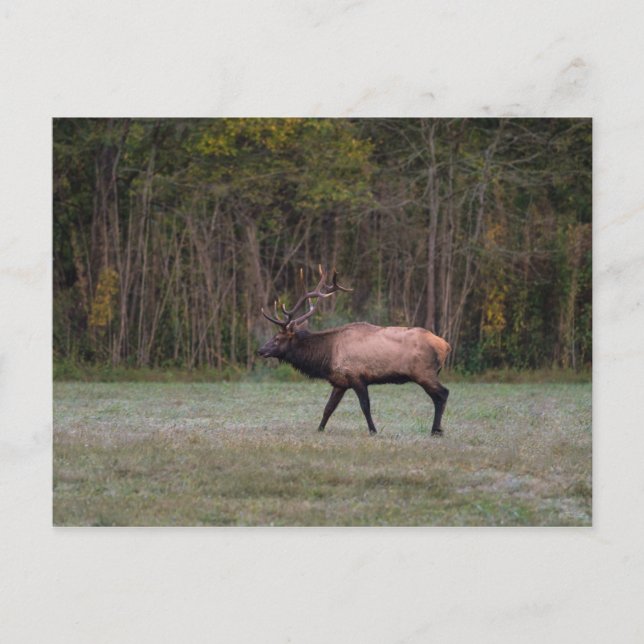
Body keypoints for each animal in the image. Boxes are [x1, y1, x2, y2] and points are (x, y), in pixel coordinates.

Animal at [257, 267, 451, 436]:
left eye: (277, 338)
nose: (260, 350)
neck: (327, 356)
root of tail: (445, 345)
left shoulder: (357, 376)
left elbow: (365, 406)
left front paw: (373, 431)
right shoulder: (340, 382)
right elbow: (328, 408)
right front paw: (319, 429)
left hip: (423, 372)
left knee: (442, 394)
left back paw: (436, 430)